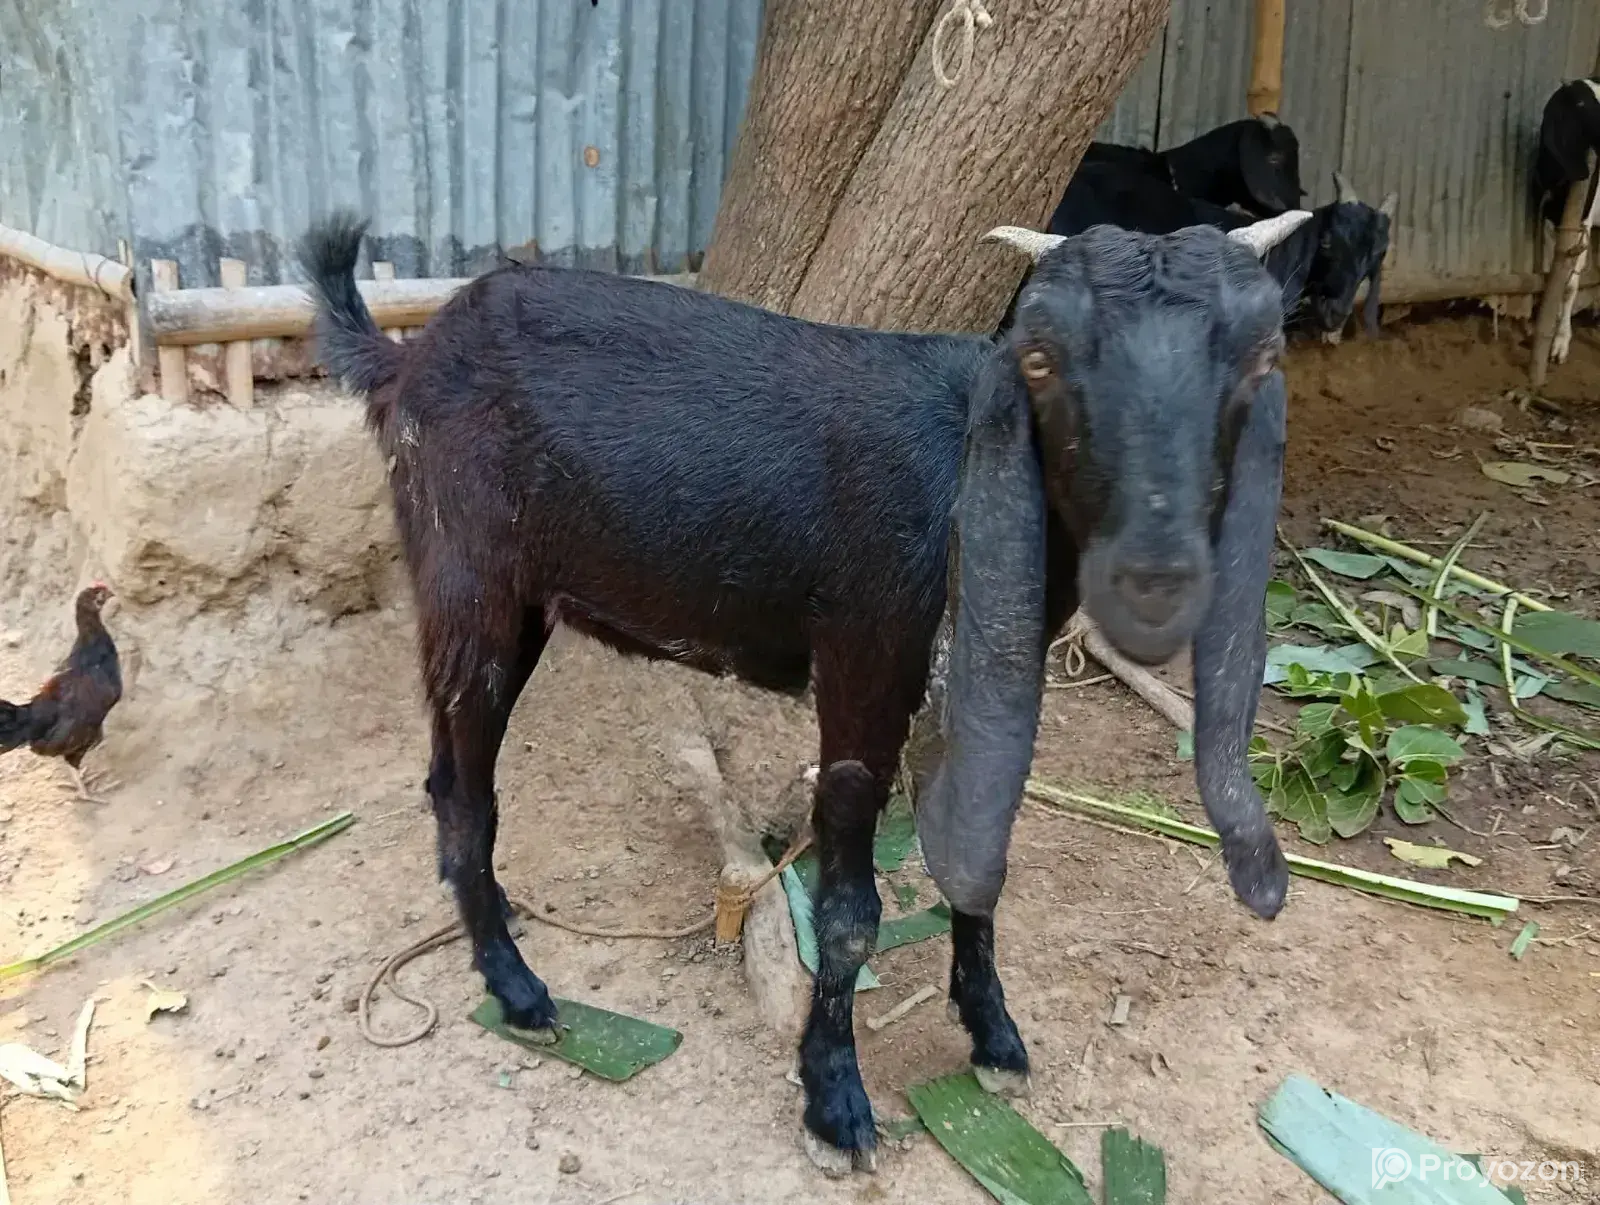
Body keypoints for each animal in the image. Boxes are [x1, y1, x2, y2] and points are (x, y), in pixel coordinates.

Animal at [300, 208, 1306, 1175]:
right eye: (1042, 359)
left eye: (1262, 358)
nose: (1157, 565)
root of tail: (406, 359)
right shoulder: (864, 660)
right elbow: (850, 913)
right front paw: (836, 1104)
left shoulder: (988, 680)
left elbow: (980, 856)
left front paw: (993, 1035)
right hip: (468, 574)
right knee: (461, 784)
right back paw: (516, 988)